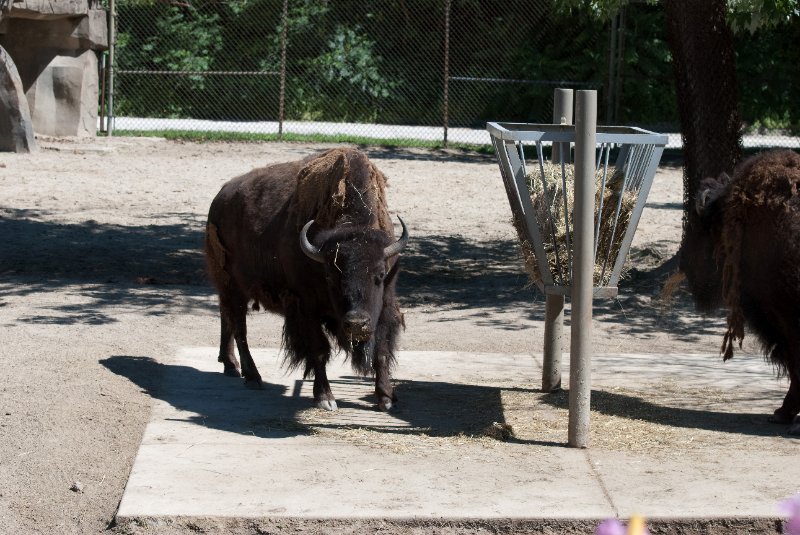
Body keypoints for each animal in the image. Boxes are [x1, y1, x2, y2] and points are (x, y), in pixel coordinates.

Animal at [204, 148, 408, 411]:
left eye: (380, 275)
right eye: (330, 276)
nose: (356, 323)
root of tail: (219, 199)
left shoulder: (384, 306)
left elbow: (382, 349)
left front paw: (385, 398)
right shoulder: (307, 308)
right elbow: (318, 351)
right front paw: (325, 398)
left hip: (231, 290)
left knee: (226, 317)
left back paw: (230, 365)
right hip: (234, 287)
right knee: (240, 329)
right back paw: (252, 377)